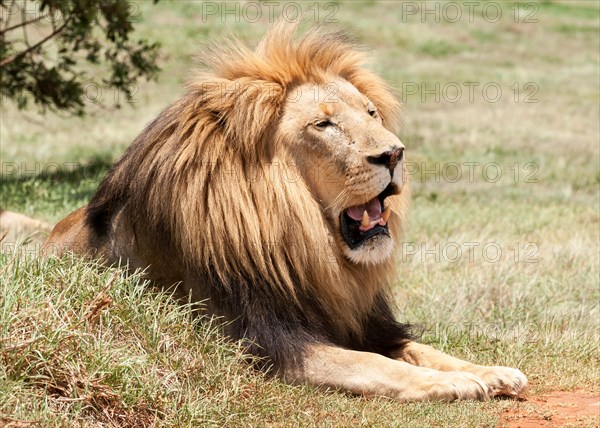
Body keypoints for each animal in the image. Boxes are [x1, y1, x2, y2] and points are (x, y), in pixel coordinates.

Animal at [44, 22, 528, 402]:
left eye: (371, 113)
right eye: (324, 124)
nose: (394, 154)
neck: (308, 246)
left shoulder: (364, 323)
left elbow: (419, 349)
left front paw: (491, 371)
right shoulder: (270, 344)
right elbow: (374, 364)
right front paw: (453, 384)